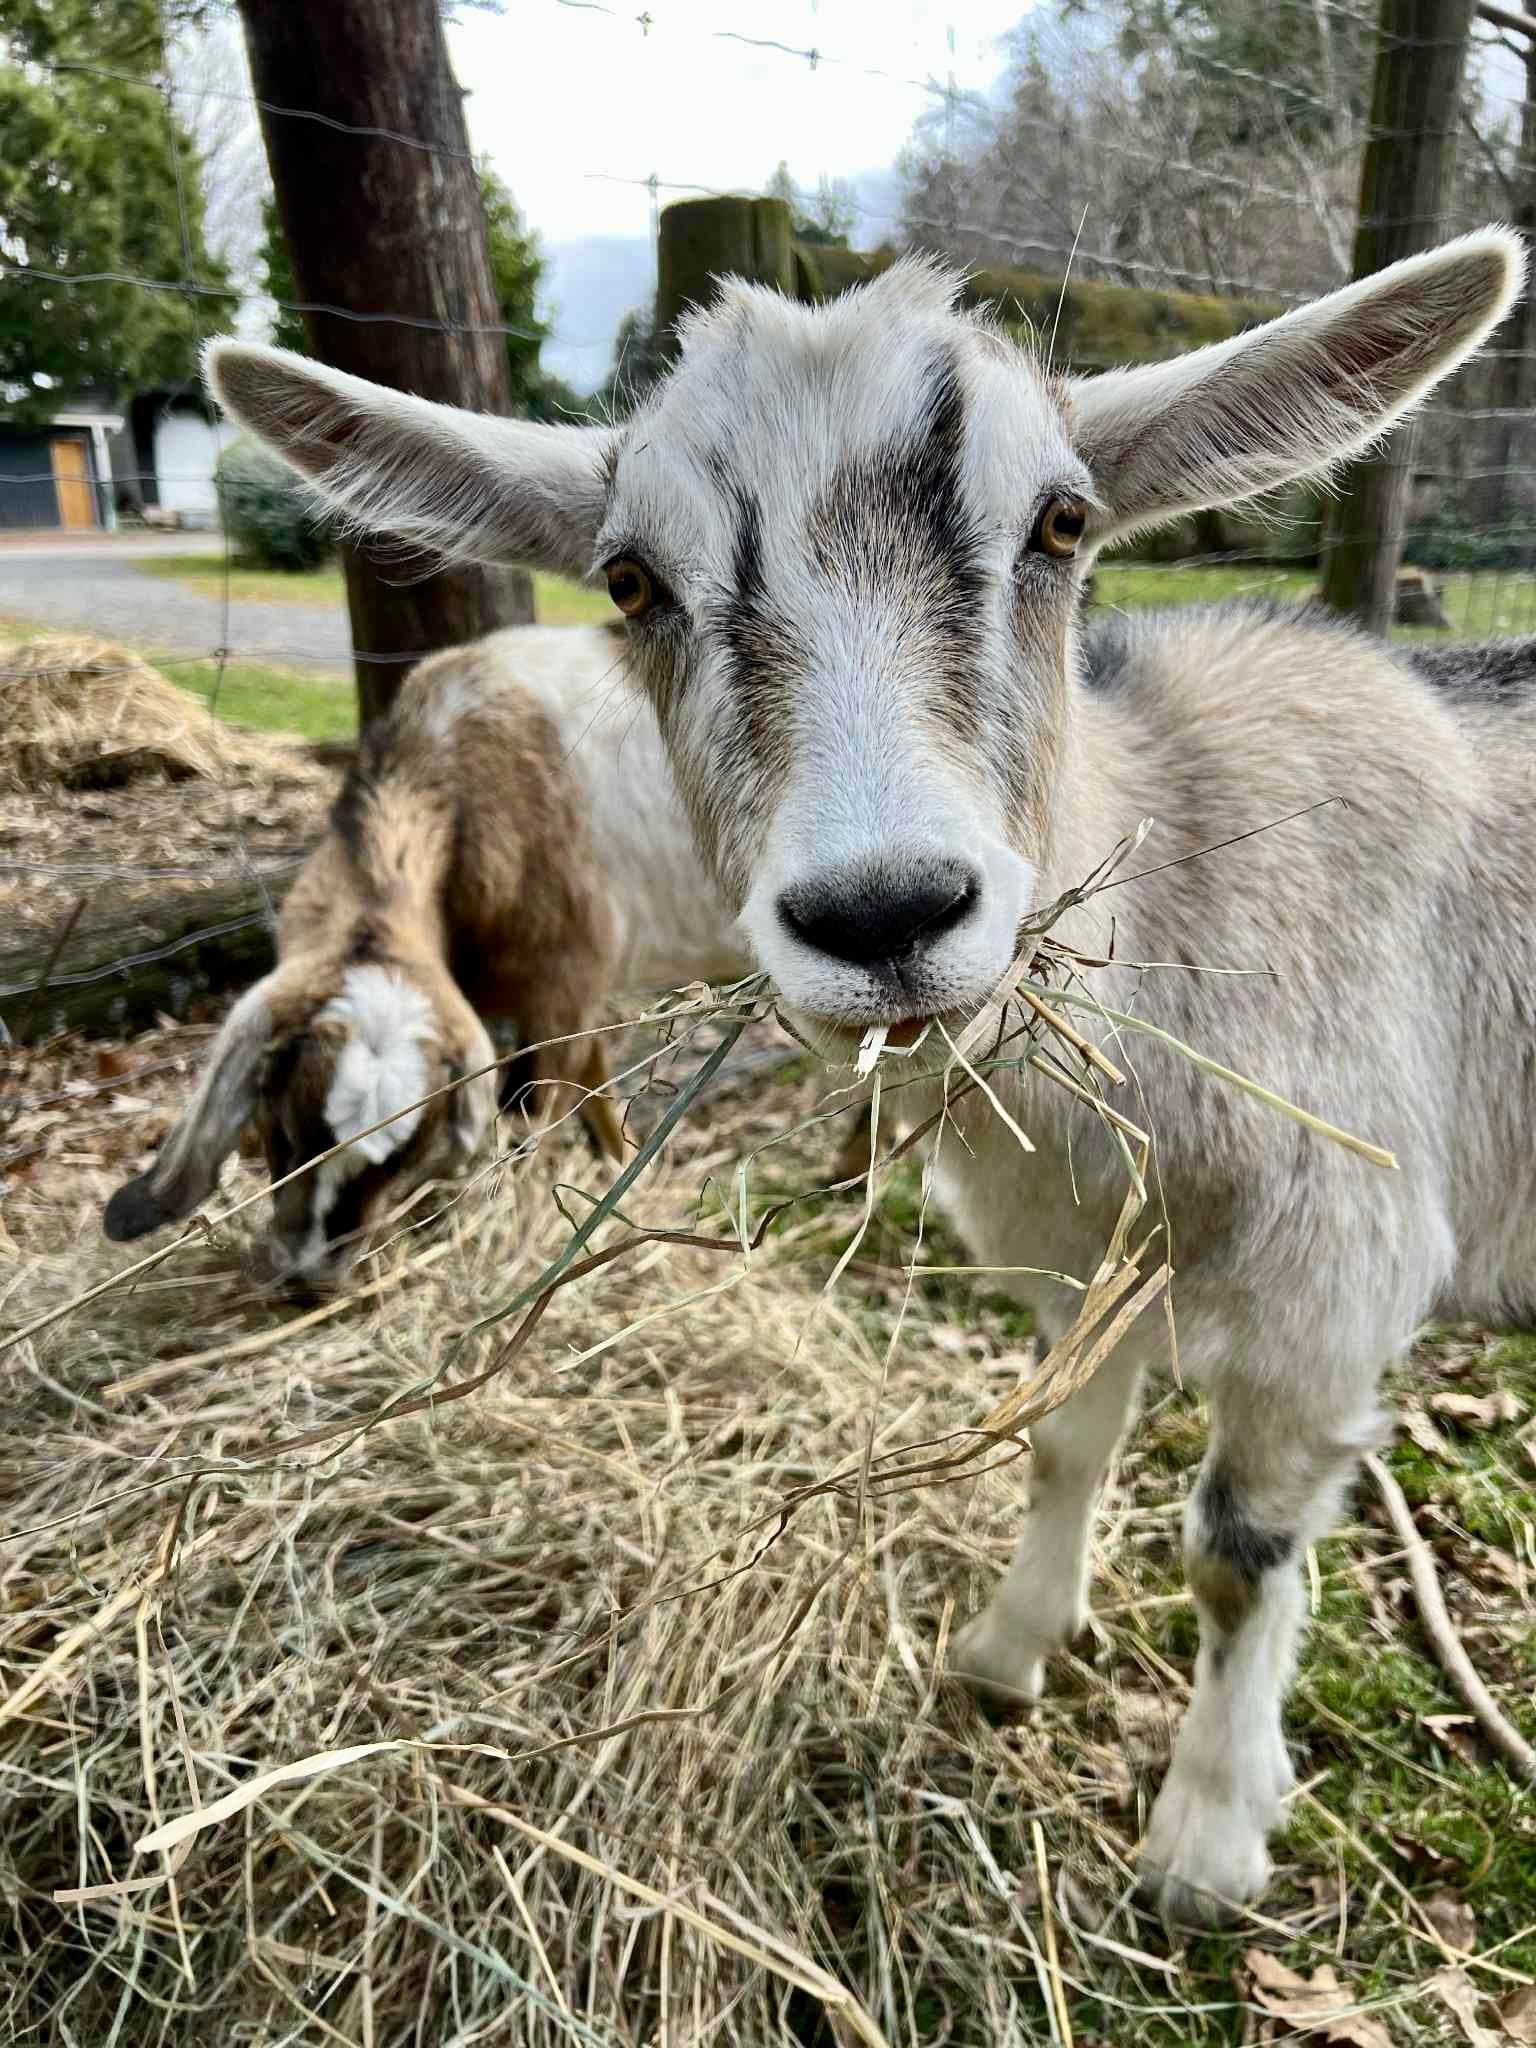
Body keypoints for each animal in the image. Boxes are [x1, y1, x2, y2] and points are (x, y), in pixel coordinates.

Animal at [104, 624, 751, 1288]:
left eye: (404, 1153)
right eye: (281, 1127)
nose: (312, 1274)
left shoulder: (562, 988)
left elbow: (532, 1114)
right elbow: (593, 1088)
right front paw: (621, 1176)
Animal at [205, 228, 1526, 1921]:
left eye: (1064, 520)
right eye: (629, 580)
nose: (886, 913)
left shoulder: (1334, 1263)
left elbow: (1241, 1550)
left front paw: (1209, 1839)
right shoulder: (1085, 1252)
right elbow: (1059, 1439)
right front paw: (1008, 1651)